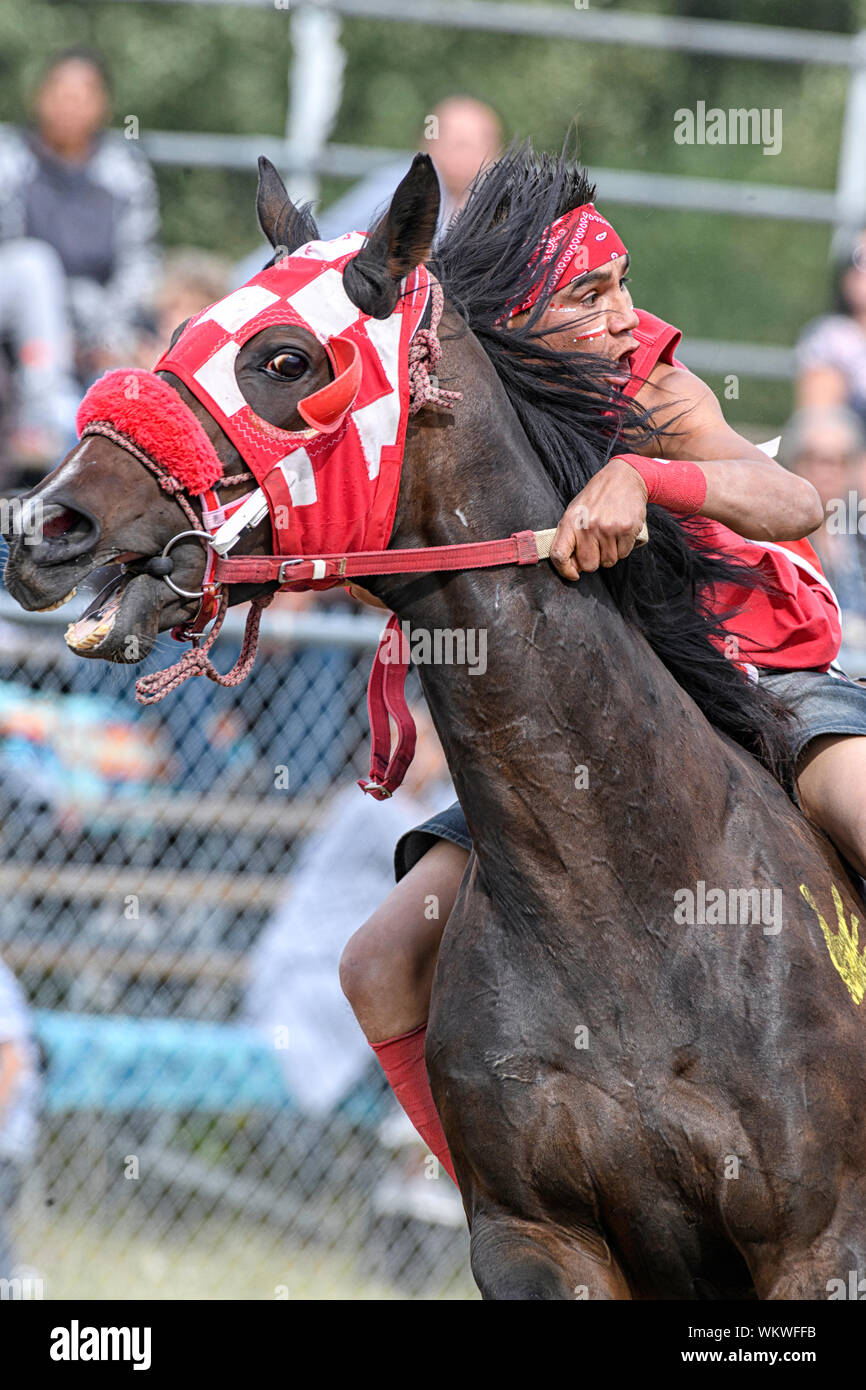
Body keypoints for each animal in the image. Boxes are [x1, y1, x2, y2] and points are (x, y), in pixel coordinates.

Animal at [5, 149, 866, 1300]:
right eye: (178, 334)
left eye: (285, 357)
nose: (48, 524)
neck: (634, 908)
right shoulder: (535, 1240)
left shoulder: (819, 1243)